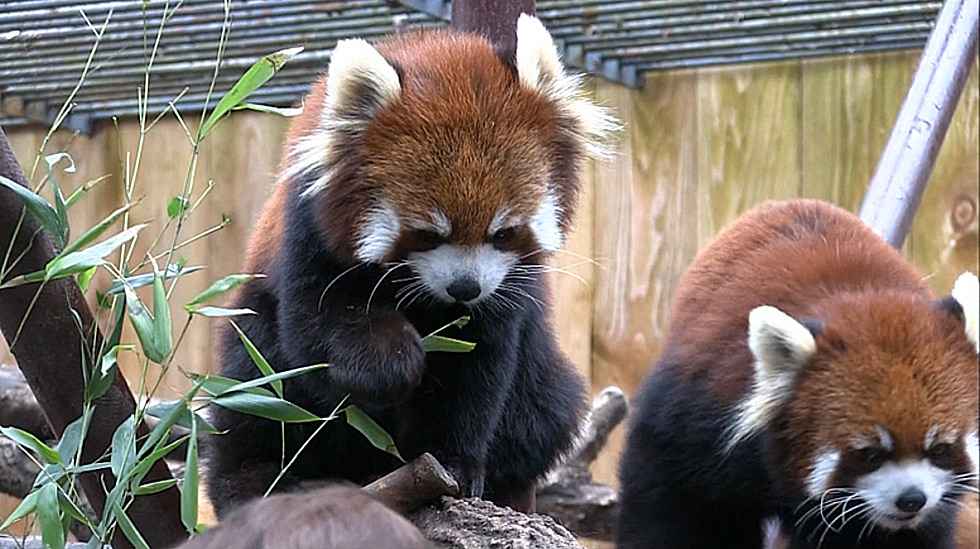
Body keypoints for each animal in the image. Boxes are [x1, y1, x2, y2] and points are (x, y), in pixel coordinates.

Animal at [204, 15, 616, 516]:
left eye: (503, 232)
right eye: (427, 233)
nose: (465, 288)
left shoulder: (506, 291)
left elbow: (474, 370)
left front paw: (453, 460)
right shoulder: (307, 228)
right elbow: (313, 327)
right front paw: (390, 362)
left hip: (542, 376)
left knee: (543, 410)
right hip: (253, 341)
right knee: (255, 392)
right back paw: (256, 482)